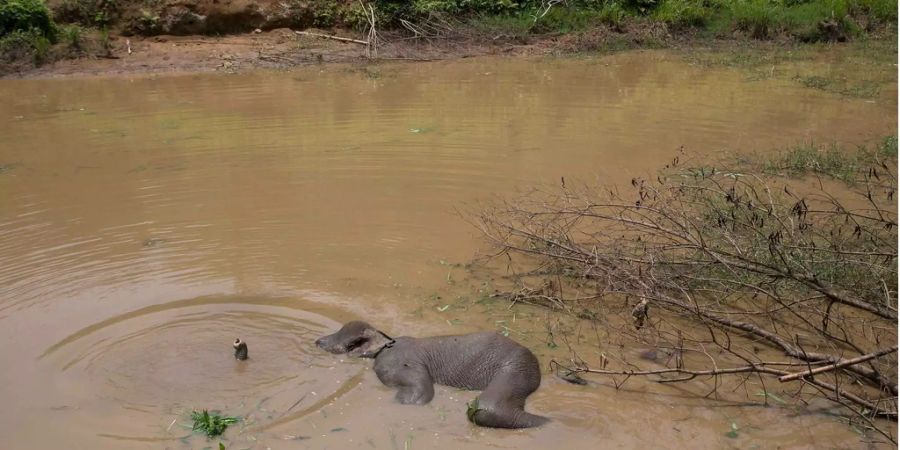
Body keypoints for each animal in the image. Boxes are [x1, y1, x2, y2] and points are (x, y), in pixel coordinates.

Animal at [316, 320, 548, 428]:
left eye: (349, 344)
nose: (318, 341)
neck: (386, 344)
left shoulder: (392, 363)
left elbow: (420, 395)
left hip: (516, 369)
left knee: (485, 407)